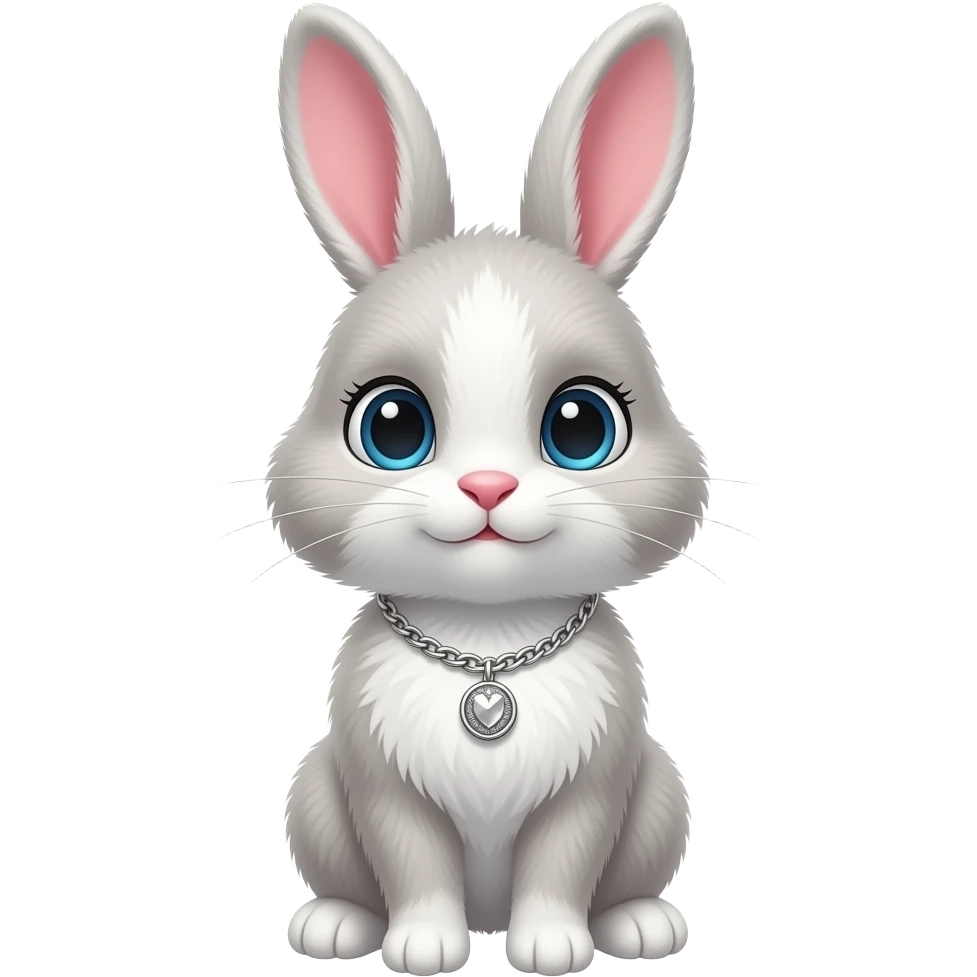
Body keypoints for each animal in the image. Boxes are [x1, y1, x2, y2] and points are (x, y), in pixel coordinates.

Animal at [276, 2, 698, 974]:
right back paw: (334, 923)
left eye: (581, 427)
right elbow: (412, 860)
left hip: (660, 789)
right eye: (391, 426)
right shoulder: (378, 780)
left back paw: (640, 923)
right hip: (313, 789)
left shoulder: (597, 780)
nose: (487, 485)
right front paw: (423, 947)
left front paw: (551, 947)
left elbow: (562, 860)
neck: (487, 646)